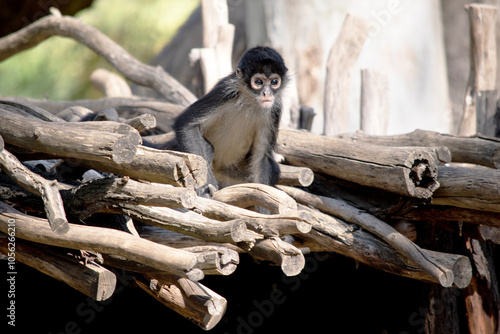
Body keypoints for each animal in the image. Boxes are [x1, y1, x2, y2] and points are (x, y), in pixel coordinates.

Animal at [173, 45, 288, 194]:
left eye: (274, 82)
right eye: (258, 82)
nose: (266, 93)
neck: (250, 100)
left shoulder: (275, 107)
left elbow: (261, 157)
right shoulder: (226, 89)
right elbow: (185, 124)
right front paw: (206, 185)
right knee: (208, 148)